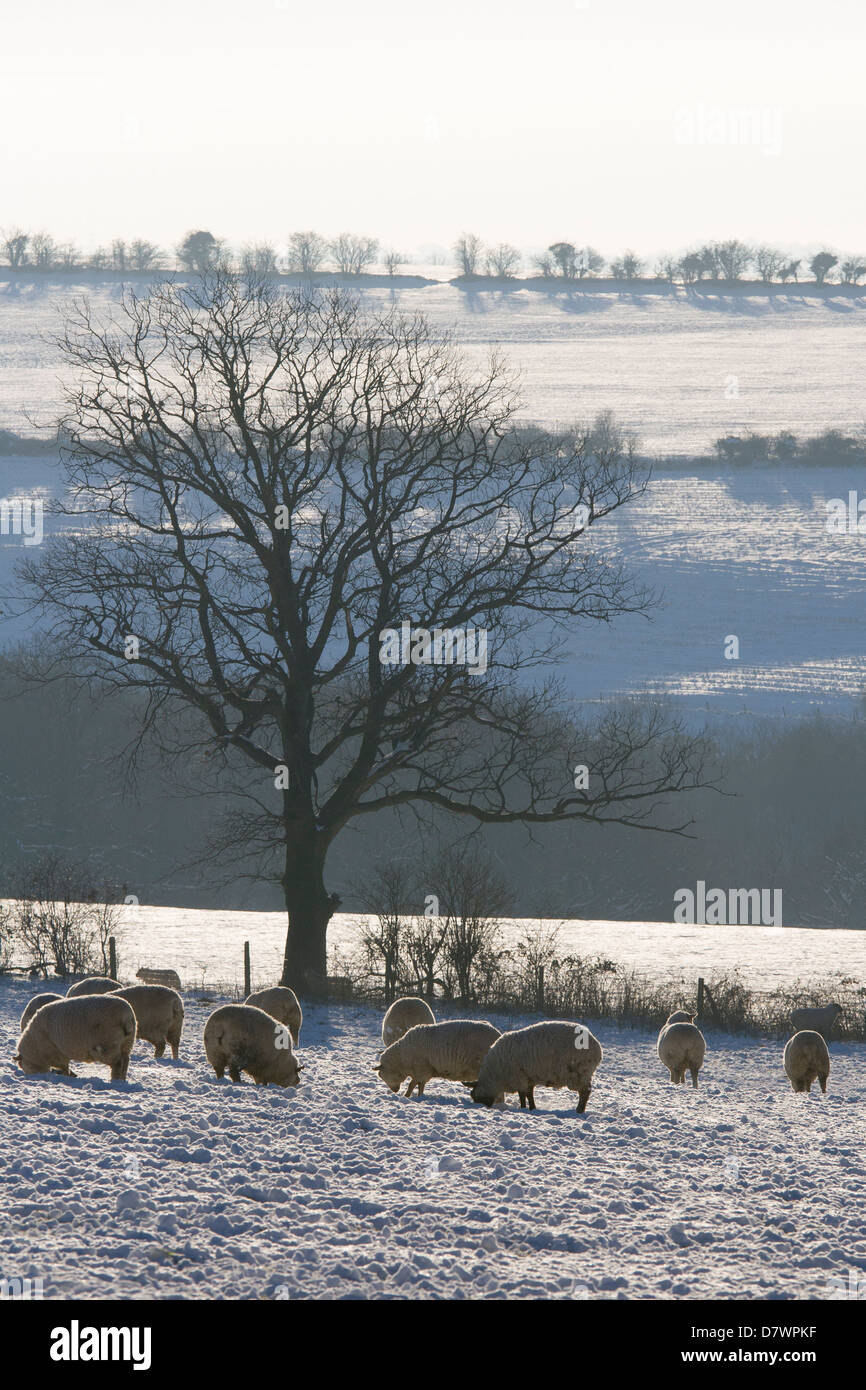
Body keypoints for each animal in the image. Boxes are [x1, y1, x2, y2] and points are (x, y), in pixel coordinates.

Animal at [372, 1023, 500, 1095]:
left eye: (381, 1075)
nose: (394, 1091)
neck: (402, 1058)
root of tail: (498, 1035)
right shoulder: (420, 1072)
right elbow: (415, 1085)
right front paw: (410, 1096)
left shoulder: (422, 1070)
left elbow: (415, 1085)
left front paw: (414, 1096)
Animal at [469, 1023, 606, 1117]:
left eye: (475, 1097)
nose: (483, 1109)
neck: (495, 1075)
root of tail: (597, 1047)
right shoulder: (528, 1077)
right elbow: (529, 1095)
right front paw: (532, 1108)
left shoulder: (519, 1077)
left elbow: (522, 1095)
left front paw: (523, 1108)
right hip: (582, 1074)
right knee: (585, 1092)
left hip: (579, 1073)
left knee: (585, 1092)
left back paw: (579, 1111)